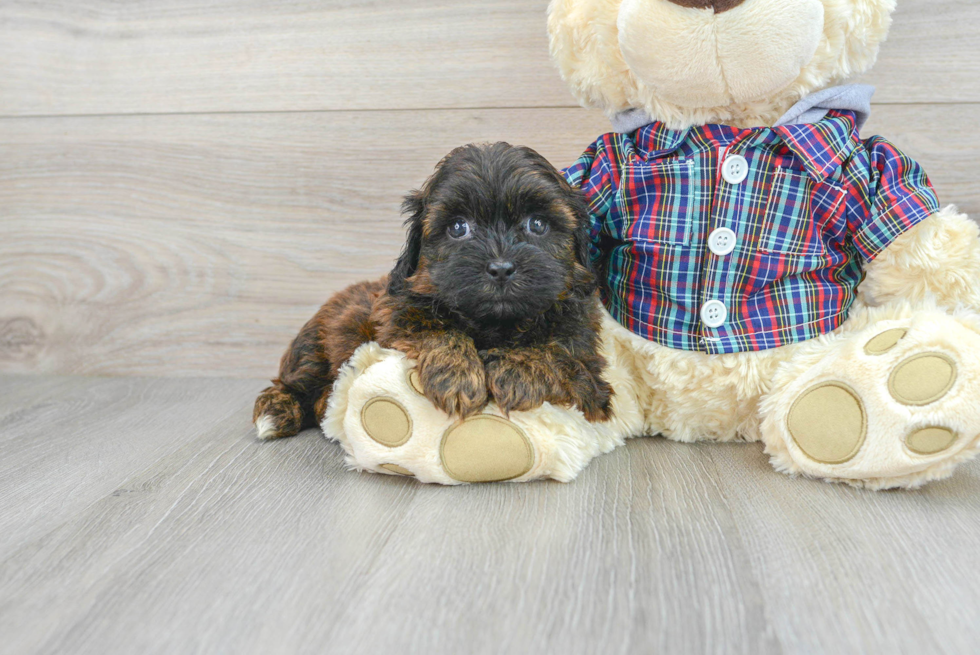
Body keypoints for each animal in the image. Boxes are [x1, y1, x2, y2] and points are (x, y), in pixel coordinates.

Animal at [256, 143, 616, 440]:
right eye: (458, 227)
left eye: (537, 224)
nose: (500, 268)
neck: (496, 323)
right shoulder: (394, 315)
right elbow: (433, 328)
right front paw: (457, 375)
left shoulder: (590, 370)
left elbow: (559, 353)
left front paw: (518, 369)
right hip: (315, 347)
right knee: (294, 382)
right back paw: (277, 412)